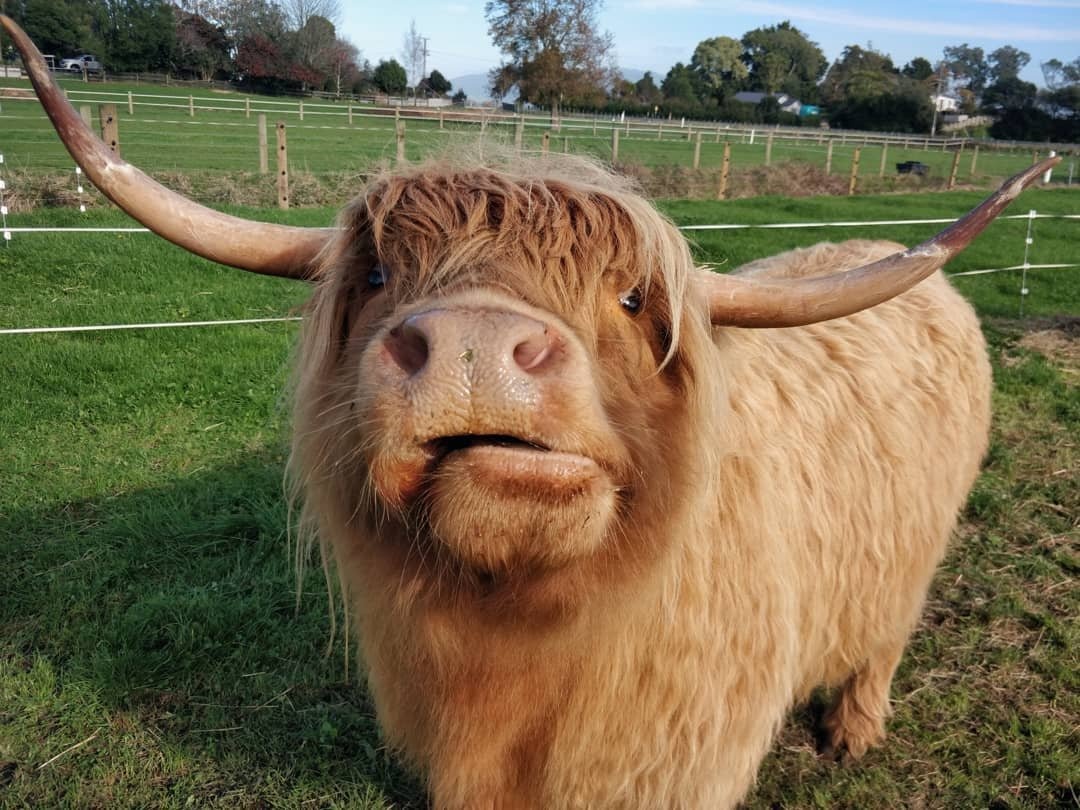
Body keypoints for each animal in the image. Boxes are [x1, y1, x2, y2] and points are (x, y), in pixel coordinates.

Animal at [4, 15, 1058, 807]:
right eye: (378, 275)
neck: (523, 646)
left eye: (631, 298)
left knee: (883, 635)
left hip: (912, 558)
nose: (472, 342)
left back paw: (853, 730)